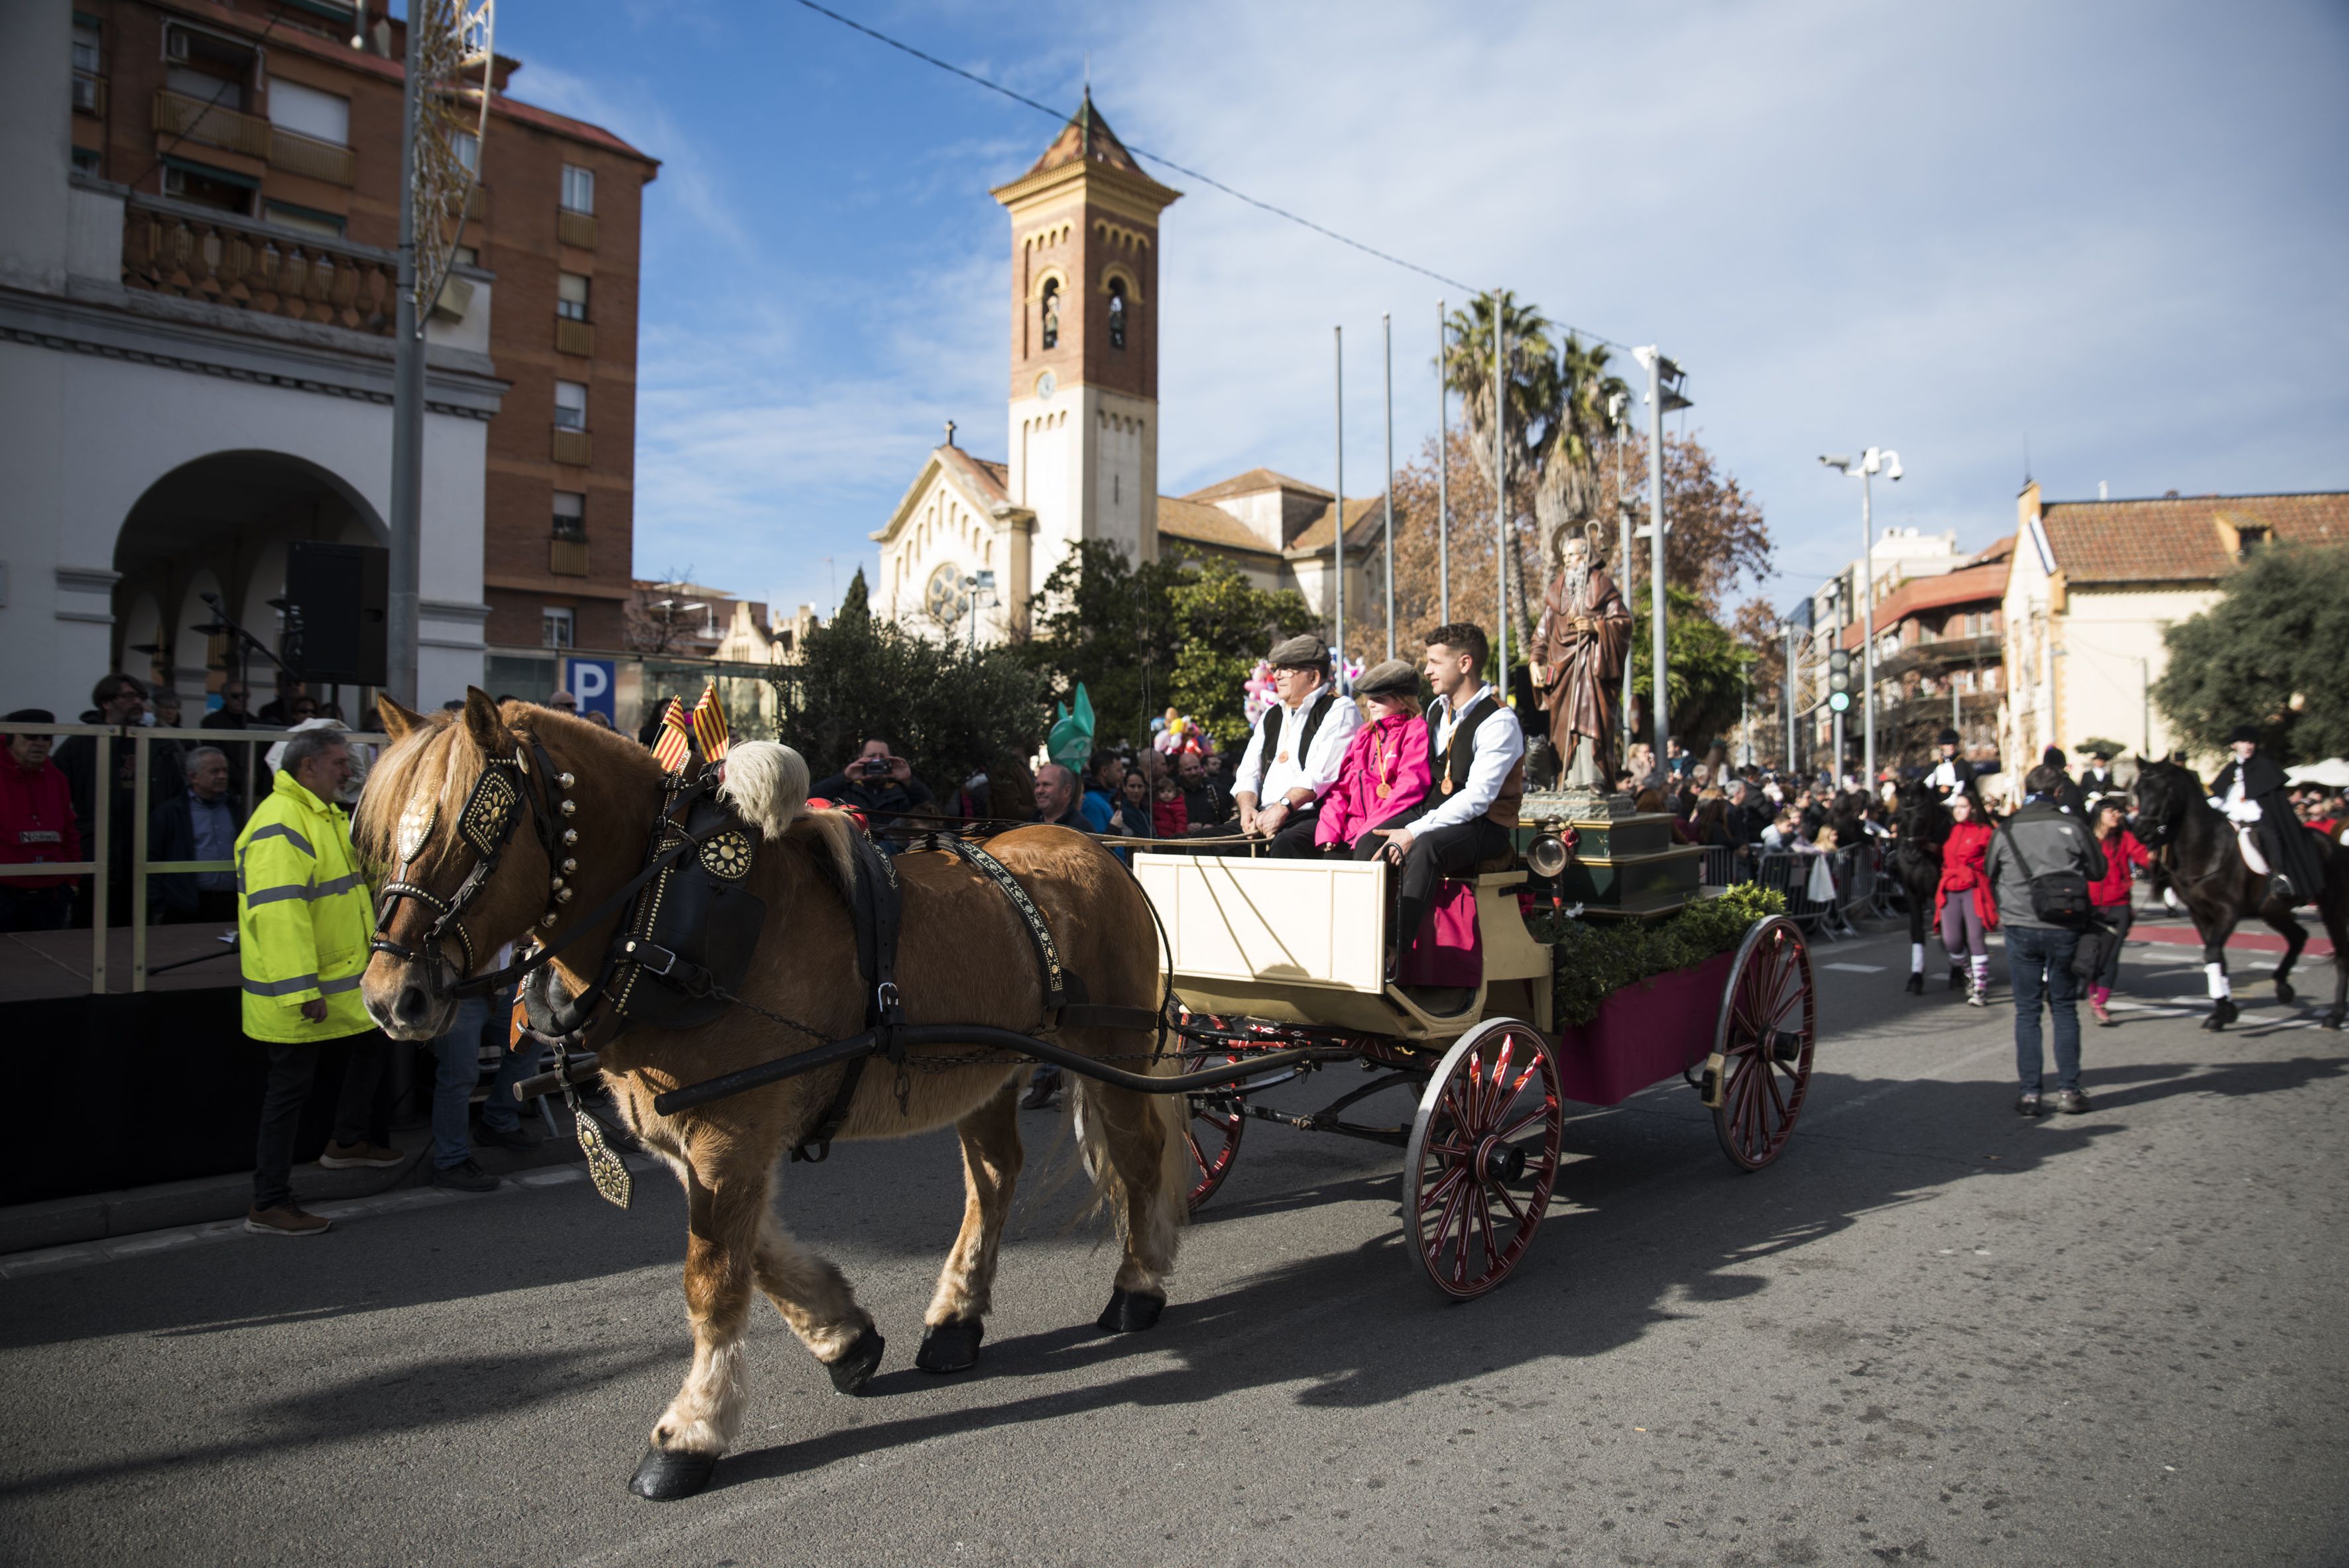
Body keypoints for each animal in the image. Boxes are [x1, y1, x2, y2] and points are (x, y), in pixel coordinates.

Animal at [354, 690, 1183, 1502]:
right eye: (388, 836)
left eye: (475, 824)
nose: (392, 996)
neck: (666, 917)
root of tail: (1095, 851)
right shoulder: (692, 1134)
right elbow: (752, 1251)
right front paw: (845, 1338)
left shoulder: (730, 1131)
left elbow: (713, 1276)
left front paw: (692, 1429)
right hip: (985, 1067)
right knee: (993, 1177)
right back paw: (956, 1317)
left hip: (1110, 1051)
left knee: (1140, 1157)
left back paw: (1138, 1284)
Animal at [2142, 756, 2339, 1028]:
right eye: (2138, 790)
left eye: (2164, 790)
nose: (2141, 831)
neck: (2208, 848)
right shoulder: (2200, 913)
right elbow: (2216, 956)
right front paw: (2223, 1011)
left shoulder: (2227, 911)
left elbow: (2213, 953)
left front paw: (2223, 1011)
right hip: (2274, 912)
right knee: (2299, 937)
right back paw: (2283, 987)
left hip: (2329, 906)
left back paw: (2333, 1014)